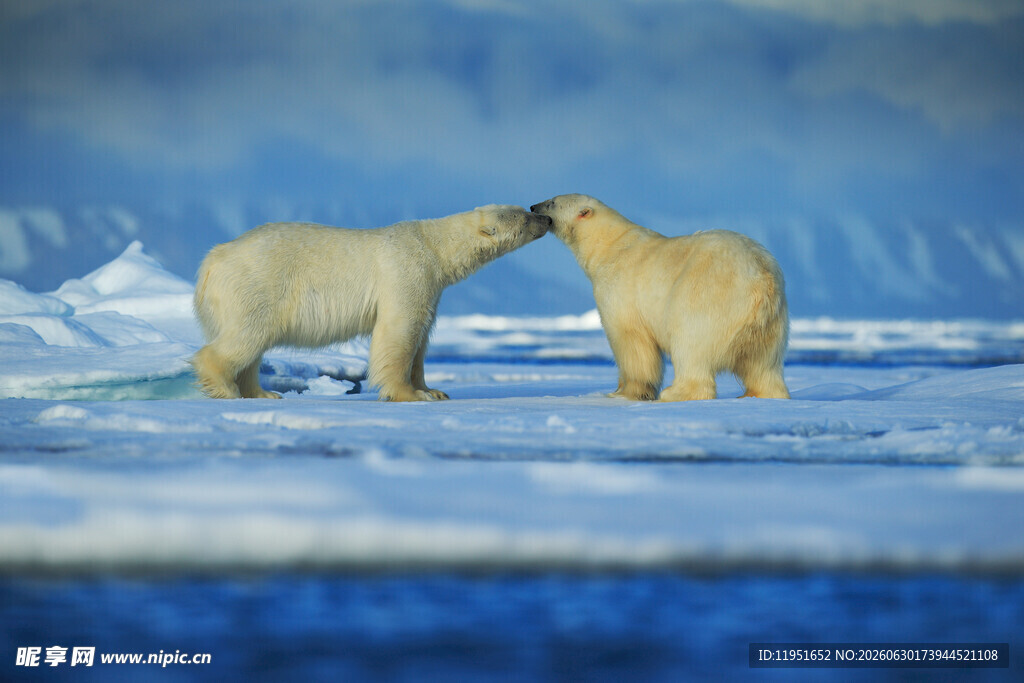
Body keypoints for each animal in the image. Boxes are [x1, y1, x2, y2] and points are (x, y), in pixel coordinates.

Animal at [192, 205, 550, 401]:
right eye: (523, 217)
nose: (545, 217)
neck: (434, 247)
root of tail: (213, 259)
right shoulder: (407, 271)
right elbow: (400, 332)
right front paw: (410, 394)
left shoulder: (432, 288)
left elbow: (421, 338)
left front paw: (434, 390)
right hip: (258, 283)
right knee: (246, 336)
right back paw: (226, 388)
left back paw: (262, 392)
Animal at [530, 194, 789, 402]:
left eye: (552, 202)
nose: (533, 206)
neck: (608, 246)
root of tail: (761, 278)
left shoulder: (620, 289)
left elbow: (630, 340)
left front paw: (625, 392)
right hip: (771, 323)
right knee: (764, 364)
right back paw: (761, 394)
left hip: (707, 296)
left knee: (690, 344)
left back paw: (675, 392)